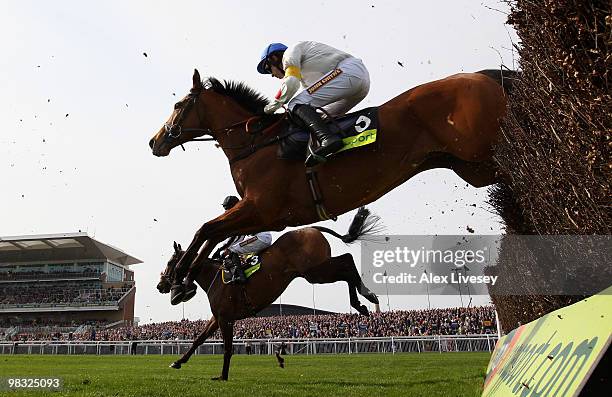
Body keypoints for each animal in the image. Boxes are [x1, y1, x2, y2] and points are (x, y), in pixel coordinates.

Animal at [148, 68, 512, 298]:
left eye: (178, 105)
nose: (155, 141)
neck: (256, 144)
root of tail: (483, 75)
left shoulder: (261, 208)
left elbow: (206, 229)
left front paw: (178, 277)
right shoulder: (262, 215)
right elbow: (211, 234)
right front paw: (181, 281)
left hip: (485, 150)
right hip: (471, 167)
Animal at [155, 207, 378, 378]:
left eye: (170, 262)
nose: (160, 286)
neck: (213, 277)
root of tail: (311, 228)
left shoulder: (226, 318)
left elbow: (227, 347)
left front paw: (223, 376)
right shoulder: (218, 317)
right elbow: (199, 339)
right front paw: (178, 361)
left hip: (314, 271)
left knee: (347, 262)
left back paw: (364, 298)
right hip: (317, 268)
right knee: (346, 262)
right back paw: (364, 300)